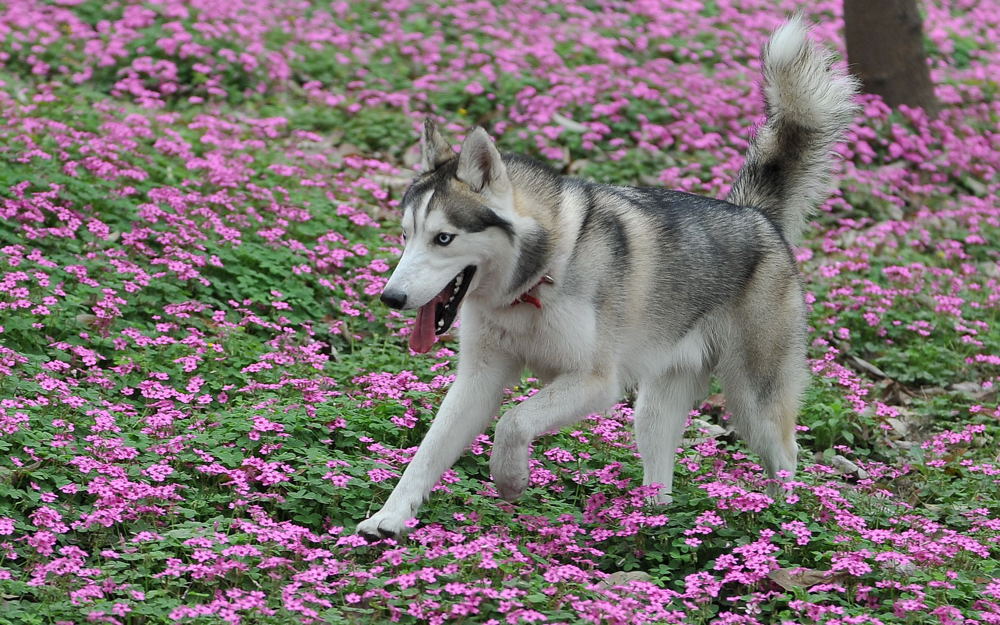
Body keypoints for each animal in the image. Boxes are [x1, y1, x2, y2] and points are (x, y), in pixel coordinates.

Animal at [360, 17, 860, 540]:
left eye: (444, 239)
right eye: (405, 236)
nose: (390, 297)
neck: (535, 281)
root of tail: (755, 215)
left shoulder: (596, 383)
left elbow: (513, 421)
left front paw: (509, 477)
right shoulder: (478, 379)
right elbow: (430, 449)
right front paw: (390, 516)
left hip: (753, 402)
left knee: (786, 457)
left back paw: (785, 524)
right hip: (655, 409)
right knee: (661, 471)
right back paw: (652, 524)